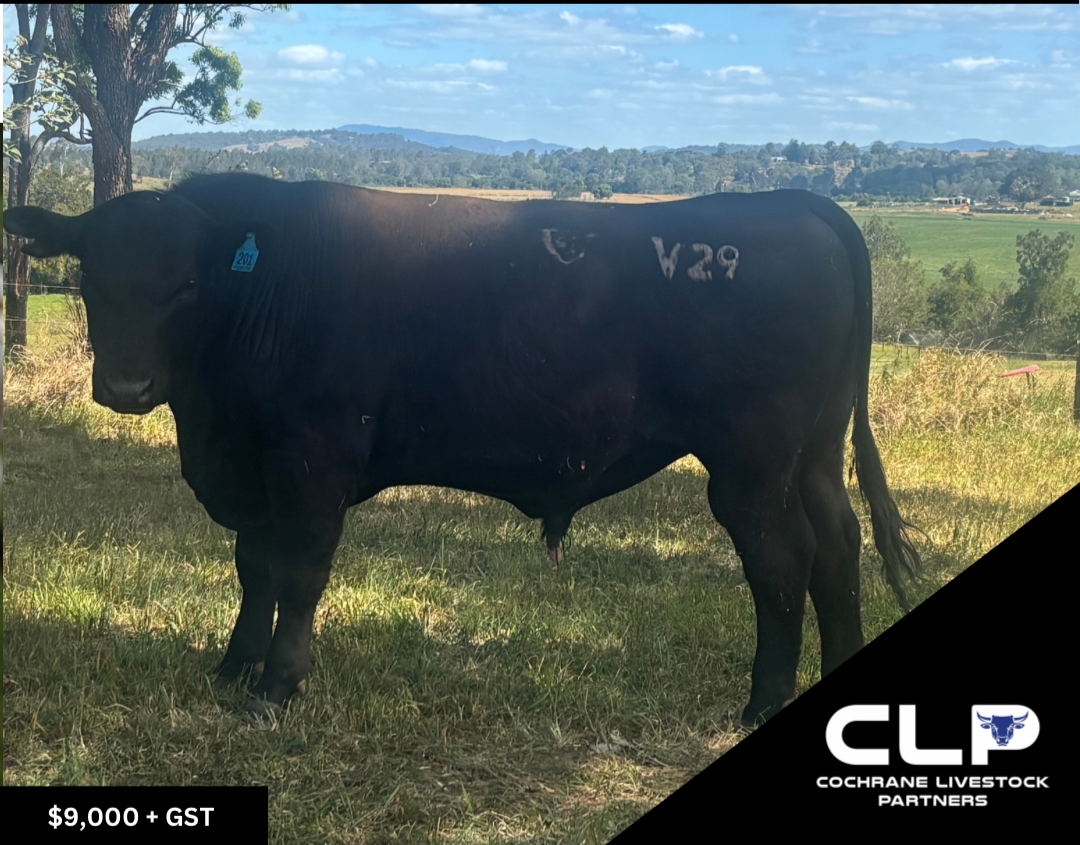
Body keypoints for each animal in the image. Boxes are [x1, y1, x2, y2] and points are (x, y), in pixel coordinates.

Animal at [3, 174, 921, 725]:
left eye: (187, 283)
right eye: (89, 275)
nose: (125, 385)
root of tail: (793, 200)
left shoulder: (310, 458)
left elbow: (297, 571)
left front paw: (277, 686)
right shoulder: (253, 464)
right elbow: (253, 569)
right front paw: (235, 665)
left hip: (750, 463)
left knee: (784, 560)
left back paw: (760, 701)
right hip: (813, 453)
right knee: (837, 547)